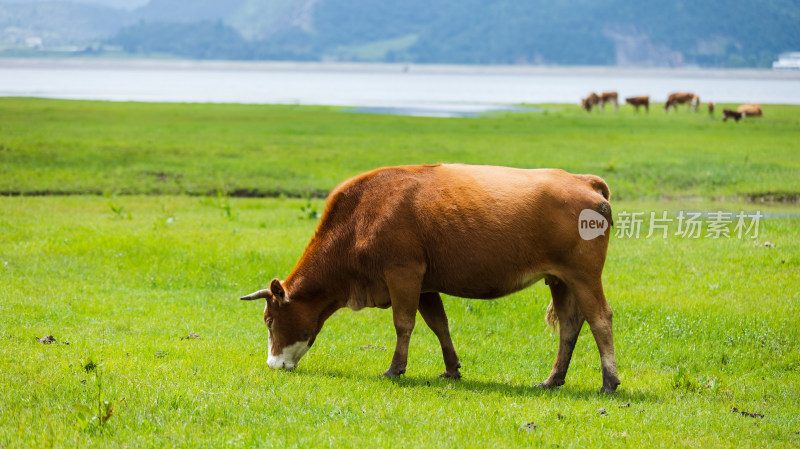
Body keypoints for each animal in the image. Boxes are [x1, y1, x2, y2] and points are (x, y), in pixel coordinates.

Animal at [238, 163, 620, 390]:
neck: (361, 217)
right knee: (570, 325)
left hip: (584, 275)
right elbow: (439, 324)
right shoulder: (424, 284)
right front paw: (452, 369)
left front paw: (395, 369)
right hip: (560, 280)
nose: (273, 364)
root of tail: (584, 181)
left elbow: (404, 323)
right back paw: (553, 379)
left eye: (269, 320)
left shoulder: (403, 273)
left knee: (600, 319)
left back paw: (609, 381)